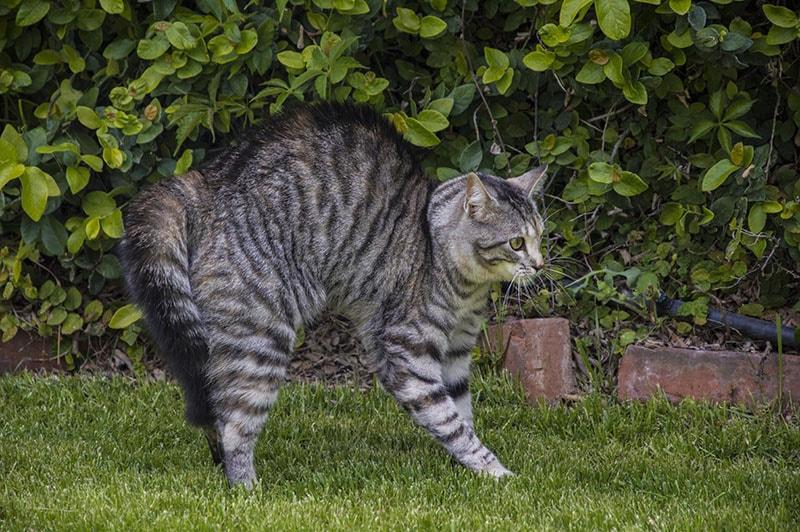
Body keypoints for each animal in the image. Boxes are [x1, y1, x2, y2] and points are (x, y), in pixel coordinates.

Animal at [119, 102, 548, 488]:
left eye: (539, 236)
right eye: (516, 243)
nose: (541, 264)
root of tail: (207, 179)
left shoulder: (457, 351)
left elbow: (461, 408)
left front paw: (467, 468)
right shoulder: (406, 349)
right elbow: (447, 418)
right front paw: (491, 469)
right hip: (262, 338)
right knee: (235, 424)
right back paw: (246, 489)